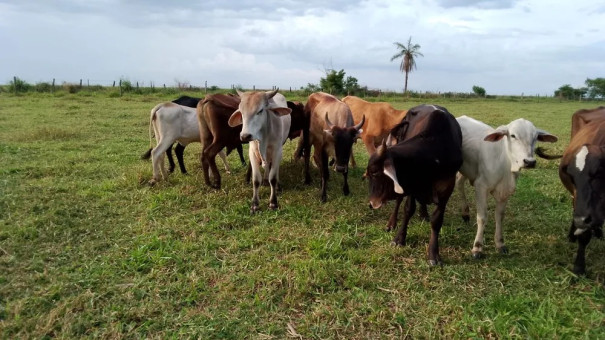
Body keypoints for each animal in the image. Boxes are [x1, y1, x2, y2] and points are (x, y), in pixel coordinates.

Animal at [452, 116, 556, 258]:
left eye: (535, 137)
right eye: (513, 135)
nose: (529, 162)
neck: (505, 163)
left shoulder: (504, 193)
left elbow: (500, 217)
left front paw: (500, 244)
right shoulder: (481, 186)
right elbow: (482, 217)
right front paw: (477, 247)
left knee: (459, 182)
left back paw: (465, 213)